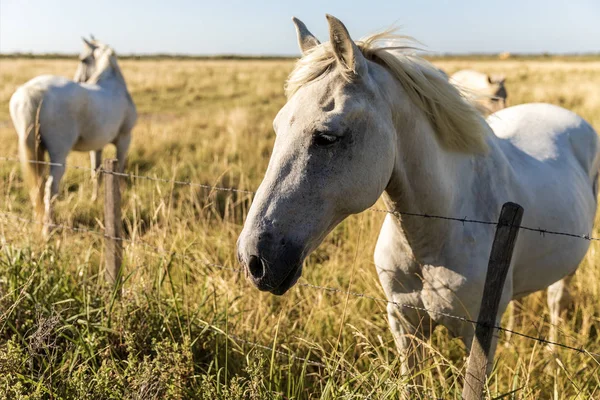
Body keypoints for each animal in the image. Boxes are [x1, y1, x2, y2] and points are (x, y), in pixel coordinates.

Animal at [9, 37, 136, 234]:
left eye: (83, 60)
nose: (79, 79)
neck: (113, 85)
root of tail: (32, 91)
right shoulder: (124, 140)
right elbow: (120, 171)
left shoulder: (97, 147)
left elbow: (96, 172)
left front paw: (94, 200)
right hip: (59, 155)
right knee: (50, 188)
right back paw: (49, 229)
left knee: (38, 187)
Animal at [237, 15, 596, 378]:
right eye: (277, 128)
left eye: (327, 136)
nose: (253, 259)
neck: (434, 236)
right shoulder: (404, 323)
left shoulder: (476, 336)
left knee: (555, 301)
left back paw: (553, 357)